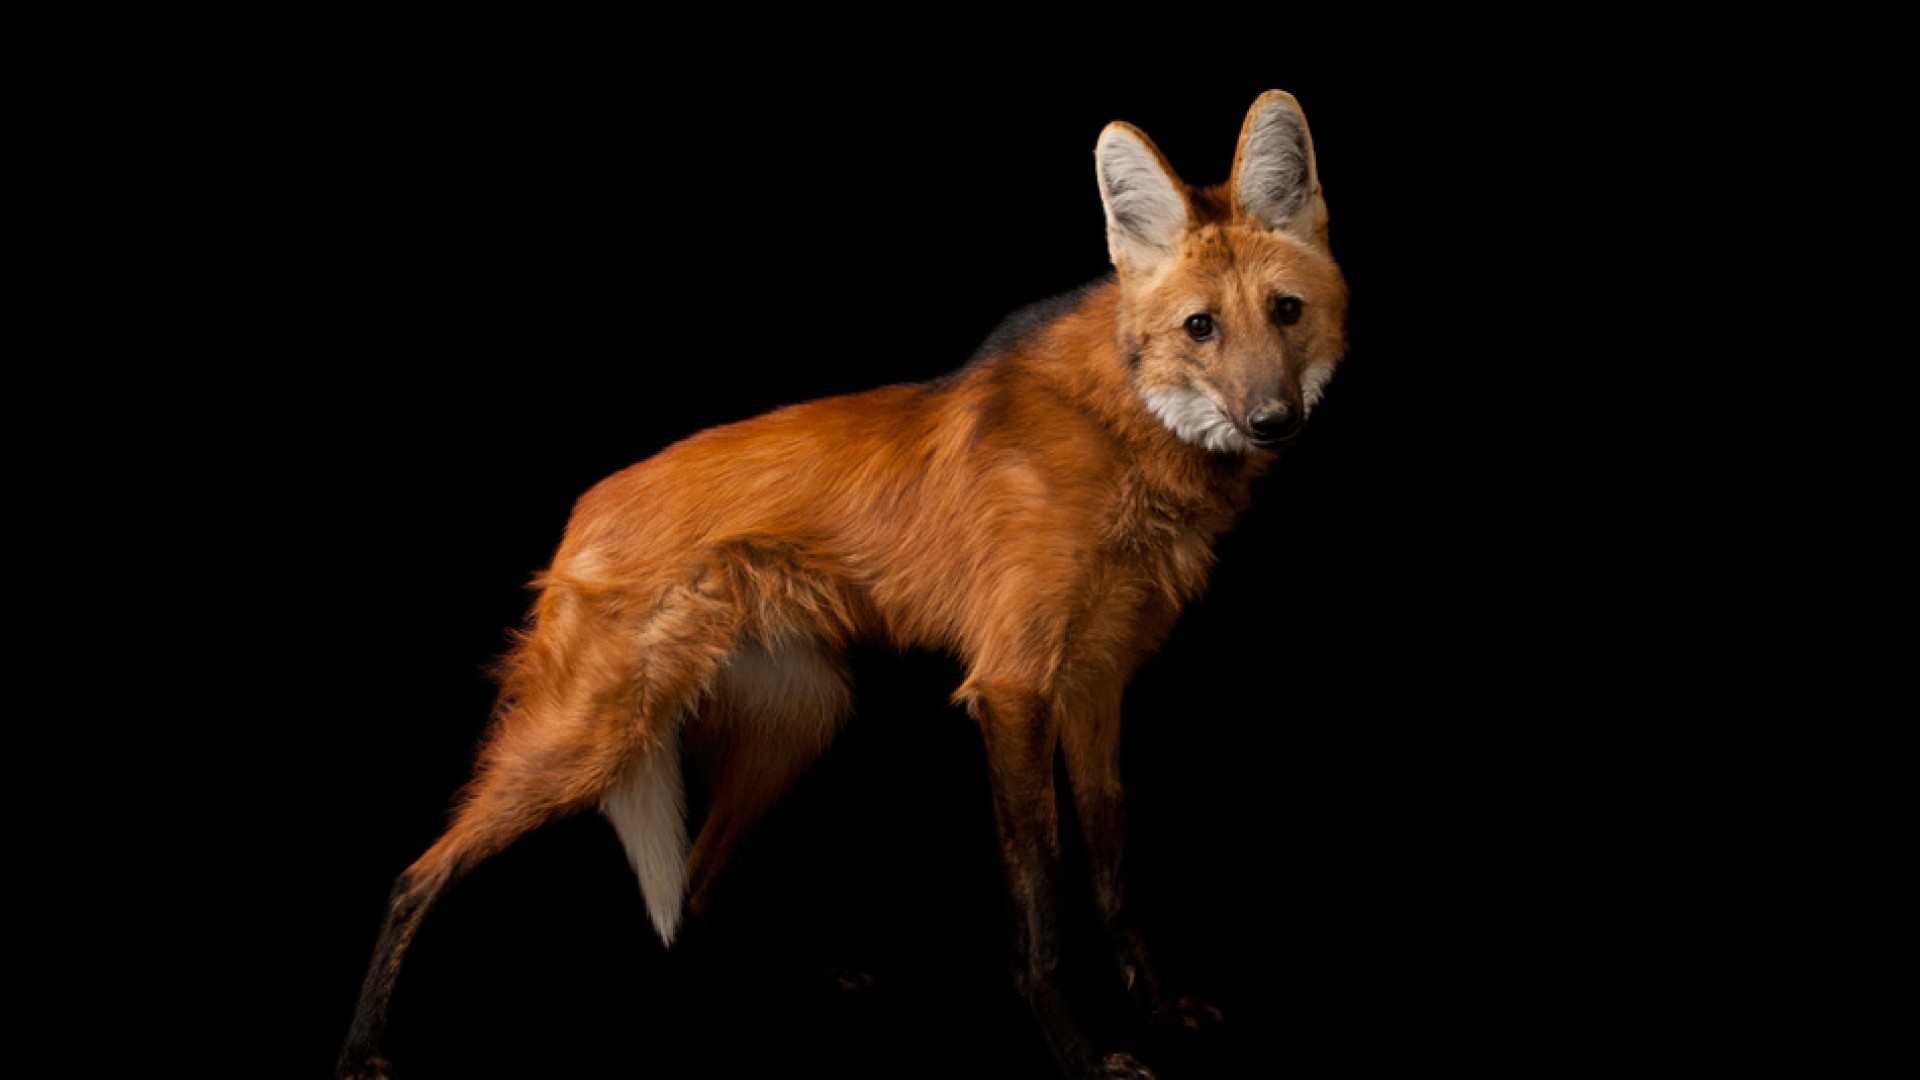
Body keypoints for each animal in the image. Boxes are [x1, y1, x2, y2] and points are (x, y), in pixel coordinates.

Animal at [341, 88, 1351, 1068]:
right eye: (1200, 328)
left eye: (1286, 313)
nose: (1272, 420)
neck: (1126, 434)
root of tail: (580, 515)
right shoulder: (1014, 685)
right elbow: (1043, 893)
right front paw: (1079, 1047)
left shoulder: (1097, 682)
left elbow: (1110, 869)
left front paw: (1159, 1005)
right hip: (591, 737)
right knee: (416, 875)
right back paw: (362, 1047)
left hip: (805, 712)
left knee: (700, 882)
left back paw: (826, 974)